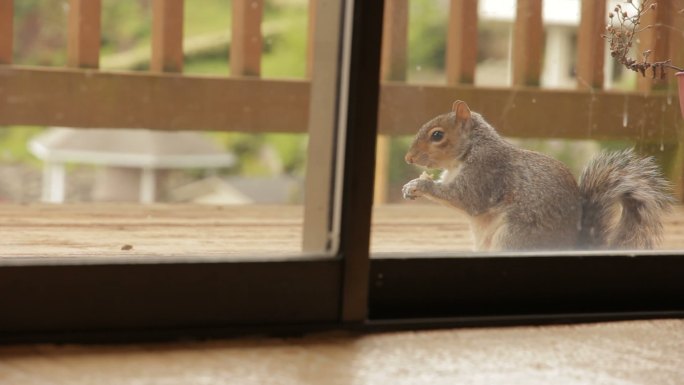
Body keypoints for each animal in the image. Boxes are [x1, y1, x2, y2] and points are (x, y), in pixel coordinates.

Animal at [400, 100, 672, 249]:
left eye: (437, 135)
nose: (408, 159)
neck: (470, 150)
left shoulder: (486, 172)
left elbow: (467, 199)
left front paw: (420, 186)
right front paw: (411, 184)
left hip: (512, 237)